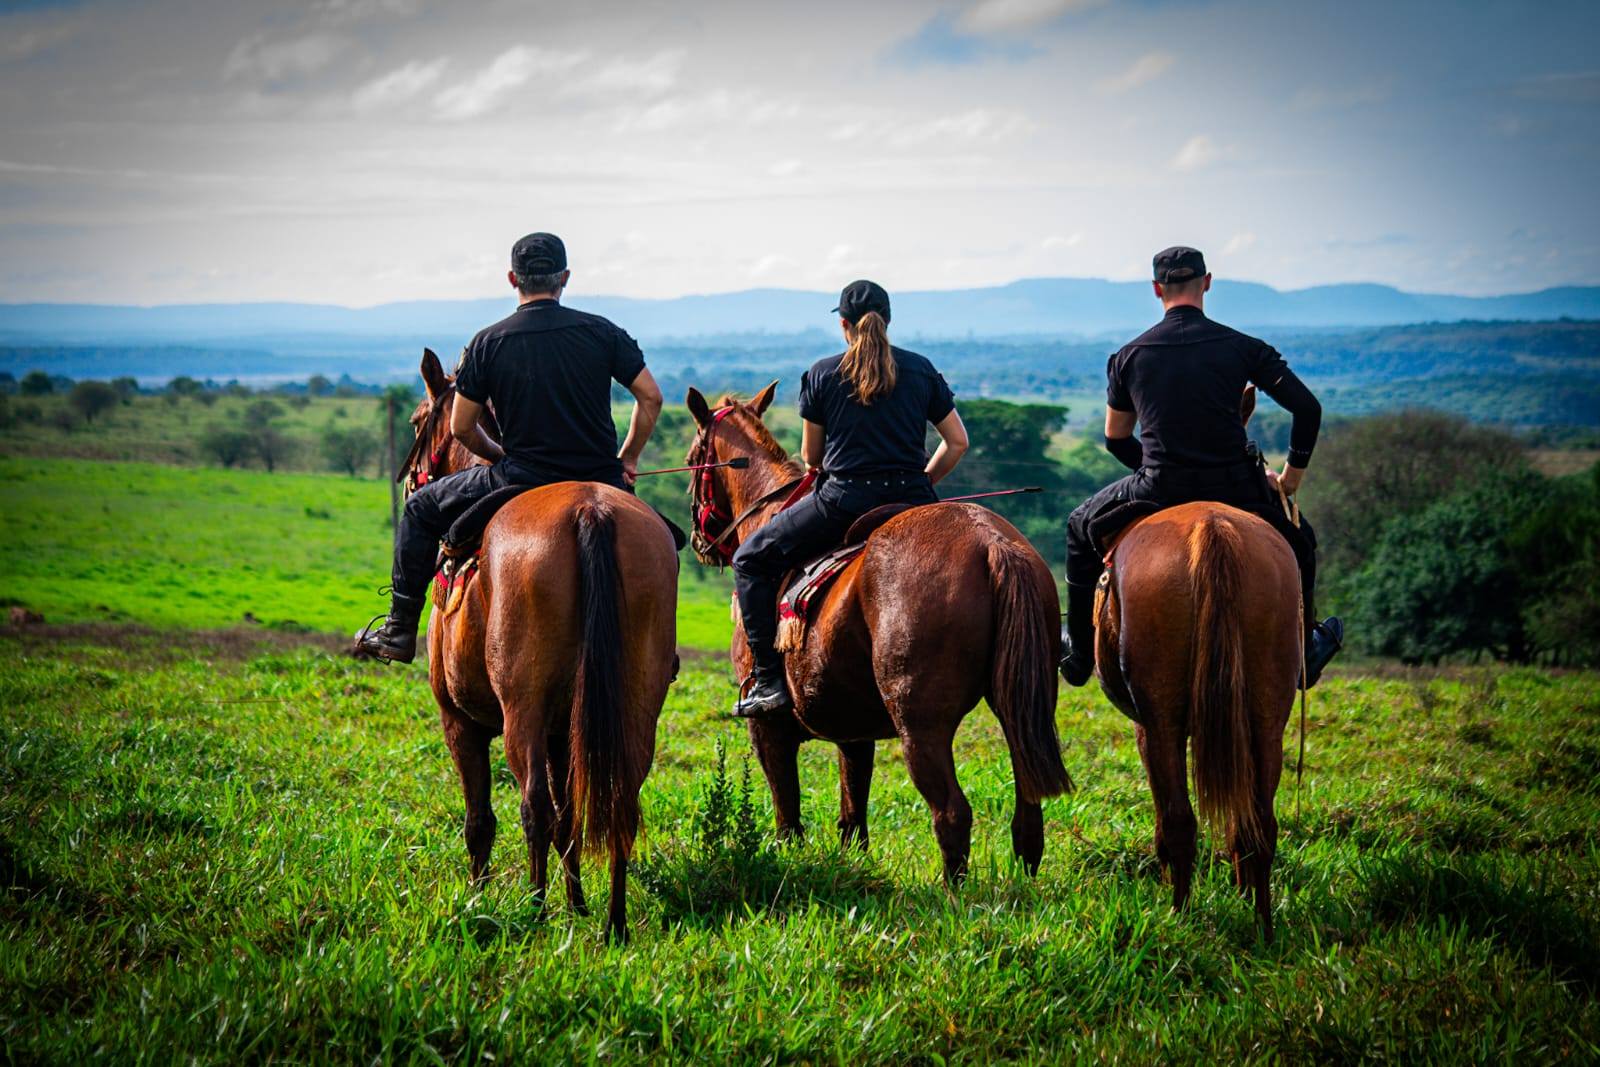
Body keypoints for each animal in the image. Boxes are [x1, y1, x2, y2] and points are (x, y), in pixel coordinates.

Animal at [403, 350, 678, 940]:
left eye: (416, 422)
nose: (410, 485)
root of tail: (590, 511)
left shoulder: (459, 721)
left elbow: (481, 820)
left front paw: (480, 897)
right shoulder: (563, 730)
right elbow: (570, 816)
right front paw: (577, 903)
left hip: (522, 710)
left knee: (533, 806)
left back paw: (535, 910)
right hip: (630, 703)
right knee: (618, 799)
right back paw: (612, 922)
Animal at [681, 383, 1068, 883]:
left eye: (693, 459)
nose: (699, 541)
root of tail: (991, 543)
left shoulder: (768, 728)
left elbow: (788, 812)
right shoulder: (852, 726)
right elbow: (853, 809)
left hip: (920, 724)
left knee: (952, 812)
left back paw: (953, 892)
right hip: (1020, 703)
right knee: (1028, 807)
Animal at [1094, 495, 1305, 940]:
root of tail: (1213, 529)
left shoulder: (1146, 729)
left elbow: (1165, 817)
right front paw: (1242, 892)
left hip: (1162, 724)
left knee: (1179, 822)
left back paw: (1179, 914)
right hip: (1267, 722)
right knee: (1259, 824)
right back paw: (1263, 924)